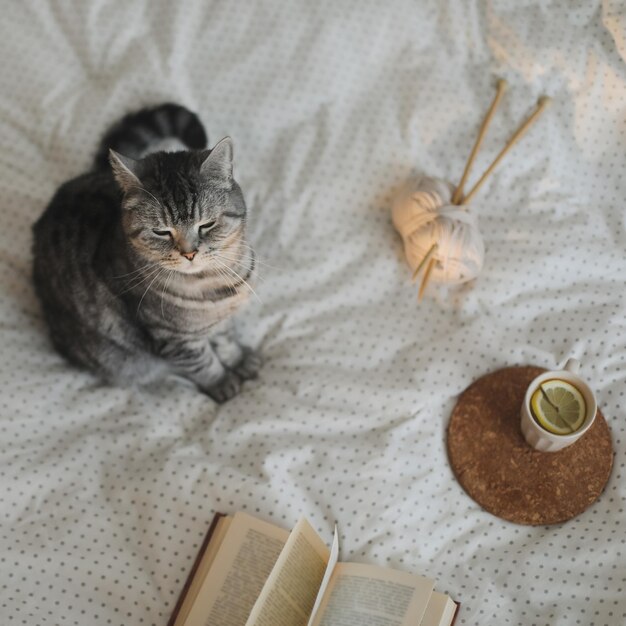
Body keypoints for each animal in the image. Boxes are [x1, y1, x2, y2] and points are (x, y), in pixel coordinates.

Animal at [33, 103, 258, 400]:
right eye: (161, 232)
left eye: (206, 224)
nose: (189, 253)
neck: (216, 283)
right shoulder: (175, 340)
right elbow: (204, 364)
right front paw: (223, 383)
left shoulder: (220, 320)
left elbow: (226, 339)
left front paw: (239, 360)